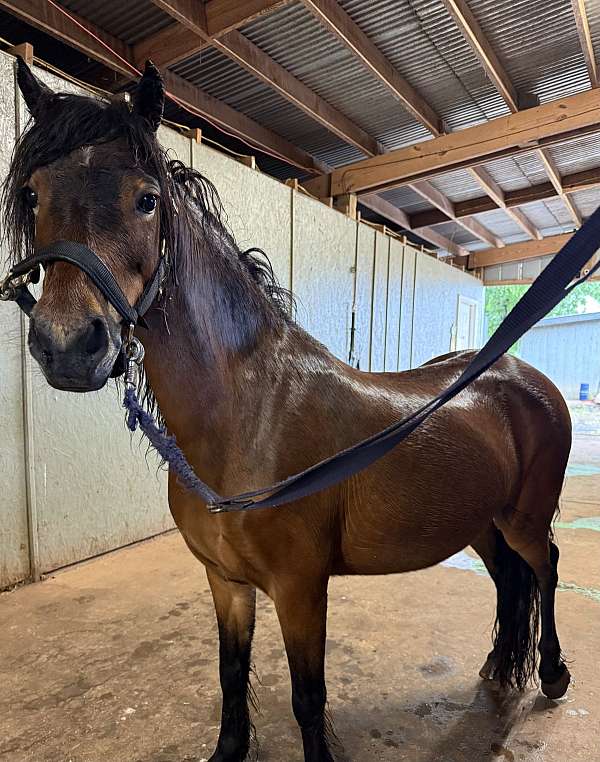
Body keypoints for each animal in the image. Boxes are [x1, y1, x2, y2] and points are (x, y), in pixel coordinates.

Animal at [2, 59, 572, 762]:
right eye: (33, 194)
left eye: (146, 199)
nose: (68, 345)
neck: (250, 419)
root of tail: (524, 377)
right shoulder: (226, 583)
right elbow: (231, 673)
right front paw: (228, 749)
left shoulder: (301, 589)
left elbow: (307, 697)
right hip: (481, 520)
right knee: (508, 580)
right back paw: (498, 665)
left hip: (524, 518)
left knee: (543, 569)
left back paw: (551, 674)